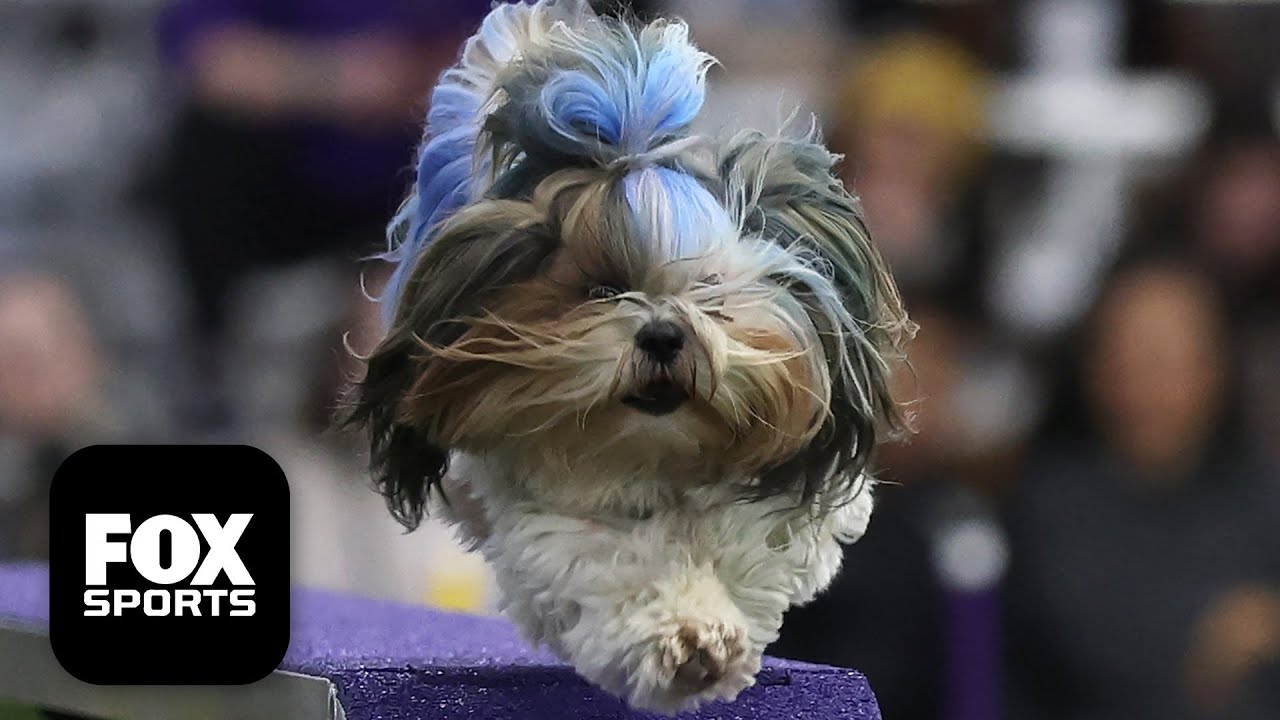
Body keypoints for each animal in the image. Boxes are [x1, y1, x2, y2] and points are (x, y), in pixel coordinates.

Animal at [343, 0, 912, 712]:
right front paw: (686, 638)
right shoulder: (547, 518)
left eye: (709, 288)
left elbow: (744, 540)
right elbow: (618, 565)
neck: (654, 455)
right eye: (602, 290)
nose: (663, 335)